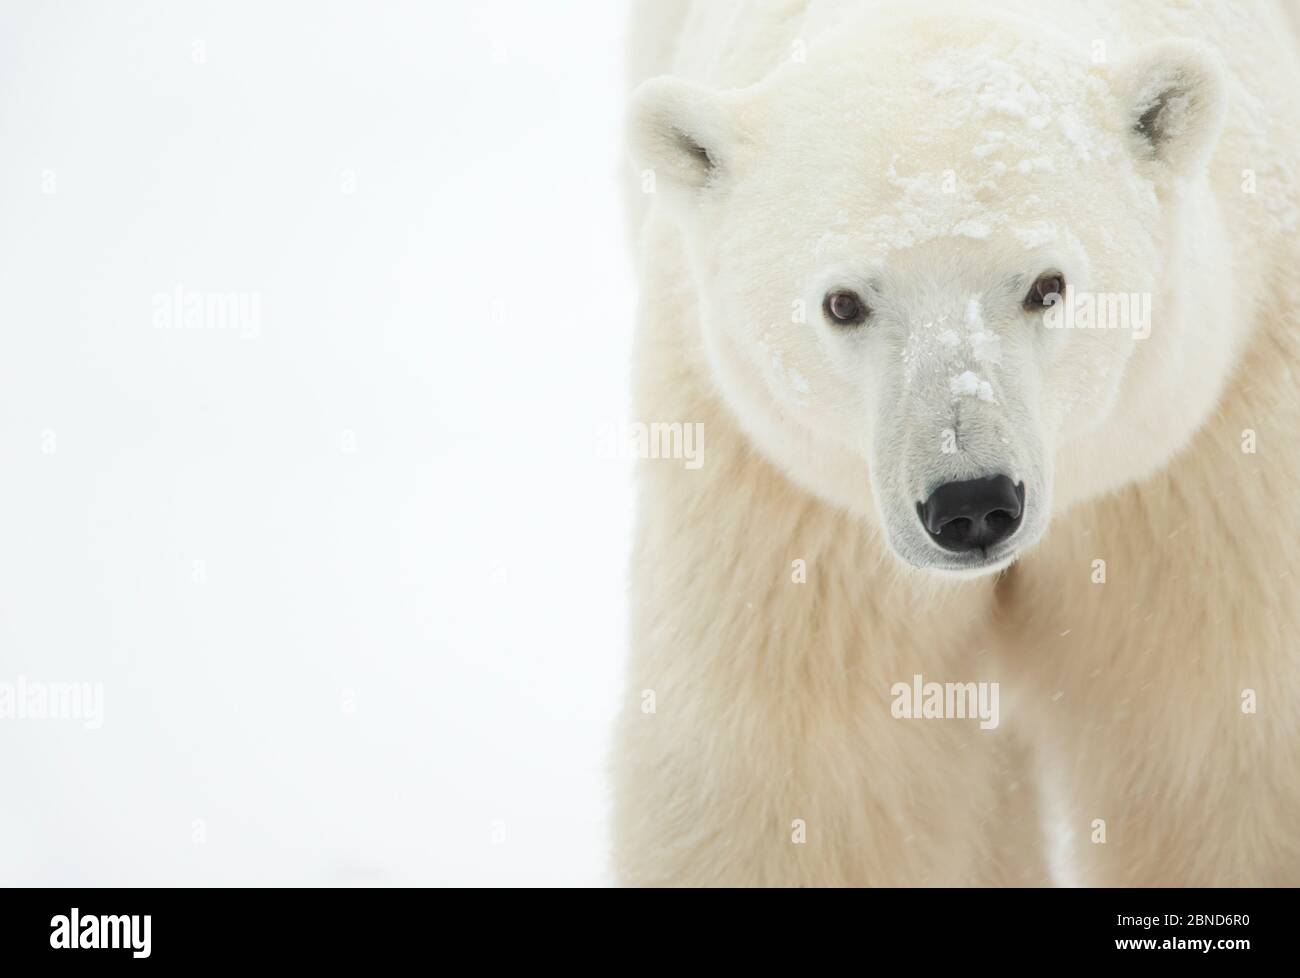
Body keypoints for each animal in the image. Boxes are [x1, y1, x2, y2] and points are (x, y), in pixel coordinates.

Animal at [611, 0, 1300, 884]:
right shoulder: (780, 493)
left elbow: (1221, 746)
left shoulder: (1200, 463)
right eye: (843, 302)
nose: (972, 504)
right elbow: (809, 775)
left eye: (1048, 286)